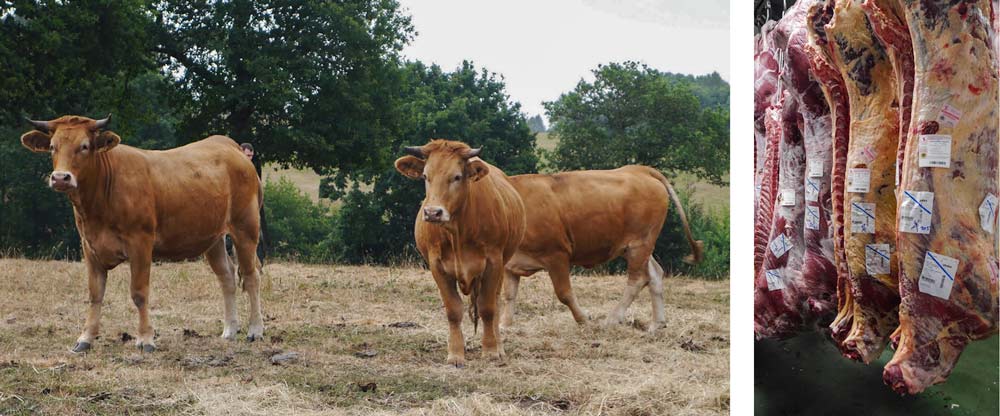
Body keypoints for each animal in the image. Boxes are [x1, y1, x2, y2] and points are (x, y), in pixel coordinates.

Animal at [19, 115, 265, 352]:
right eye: (52, 147)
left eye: (84, 146)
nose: (61, 178)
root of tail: (229, 145)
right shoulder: (89, 246)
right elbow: (95, 294)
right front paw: (85, 339)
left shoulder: (141, 243)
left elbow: (139, 293)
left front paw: (146, 339)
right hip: (212, 238)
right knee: (227, 276)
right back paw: (229, 331)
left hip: (245, 228)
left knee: (251, 276)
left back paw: (255, 330)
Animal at [395, 139, 525, 367]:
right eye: (425, 176)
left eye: (456, 176)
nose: (433, 213)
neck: (457, 232)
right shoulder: (437, 267)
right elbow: (453, 310)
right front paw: (456, 353)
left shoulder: (493, 263)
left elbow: (488, 308)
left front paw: (490, 350)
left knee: (494, 304)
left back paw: (499, 347)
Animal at [500, 165, 704, 332]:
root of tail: (640, 170)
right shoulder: (510, 265)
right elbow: (509, 295)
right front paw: (505, 325)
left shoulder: (557, 255)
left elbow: (565, 294)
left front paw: (584, 320)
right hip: (635, 248)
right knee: (655, 274)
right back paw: (656, 324)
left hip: (639, 244)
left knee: (638, 279)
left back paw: (612, 319)